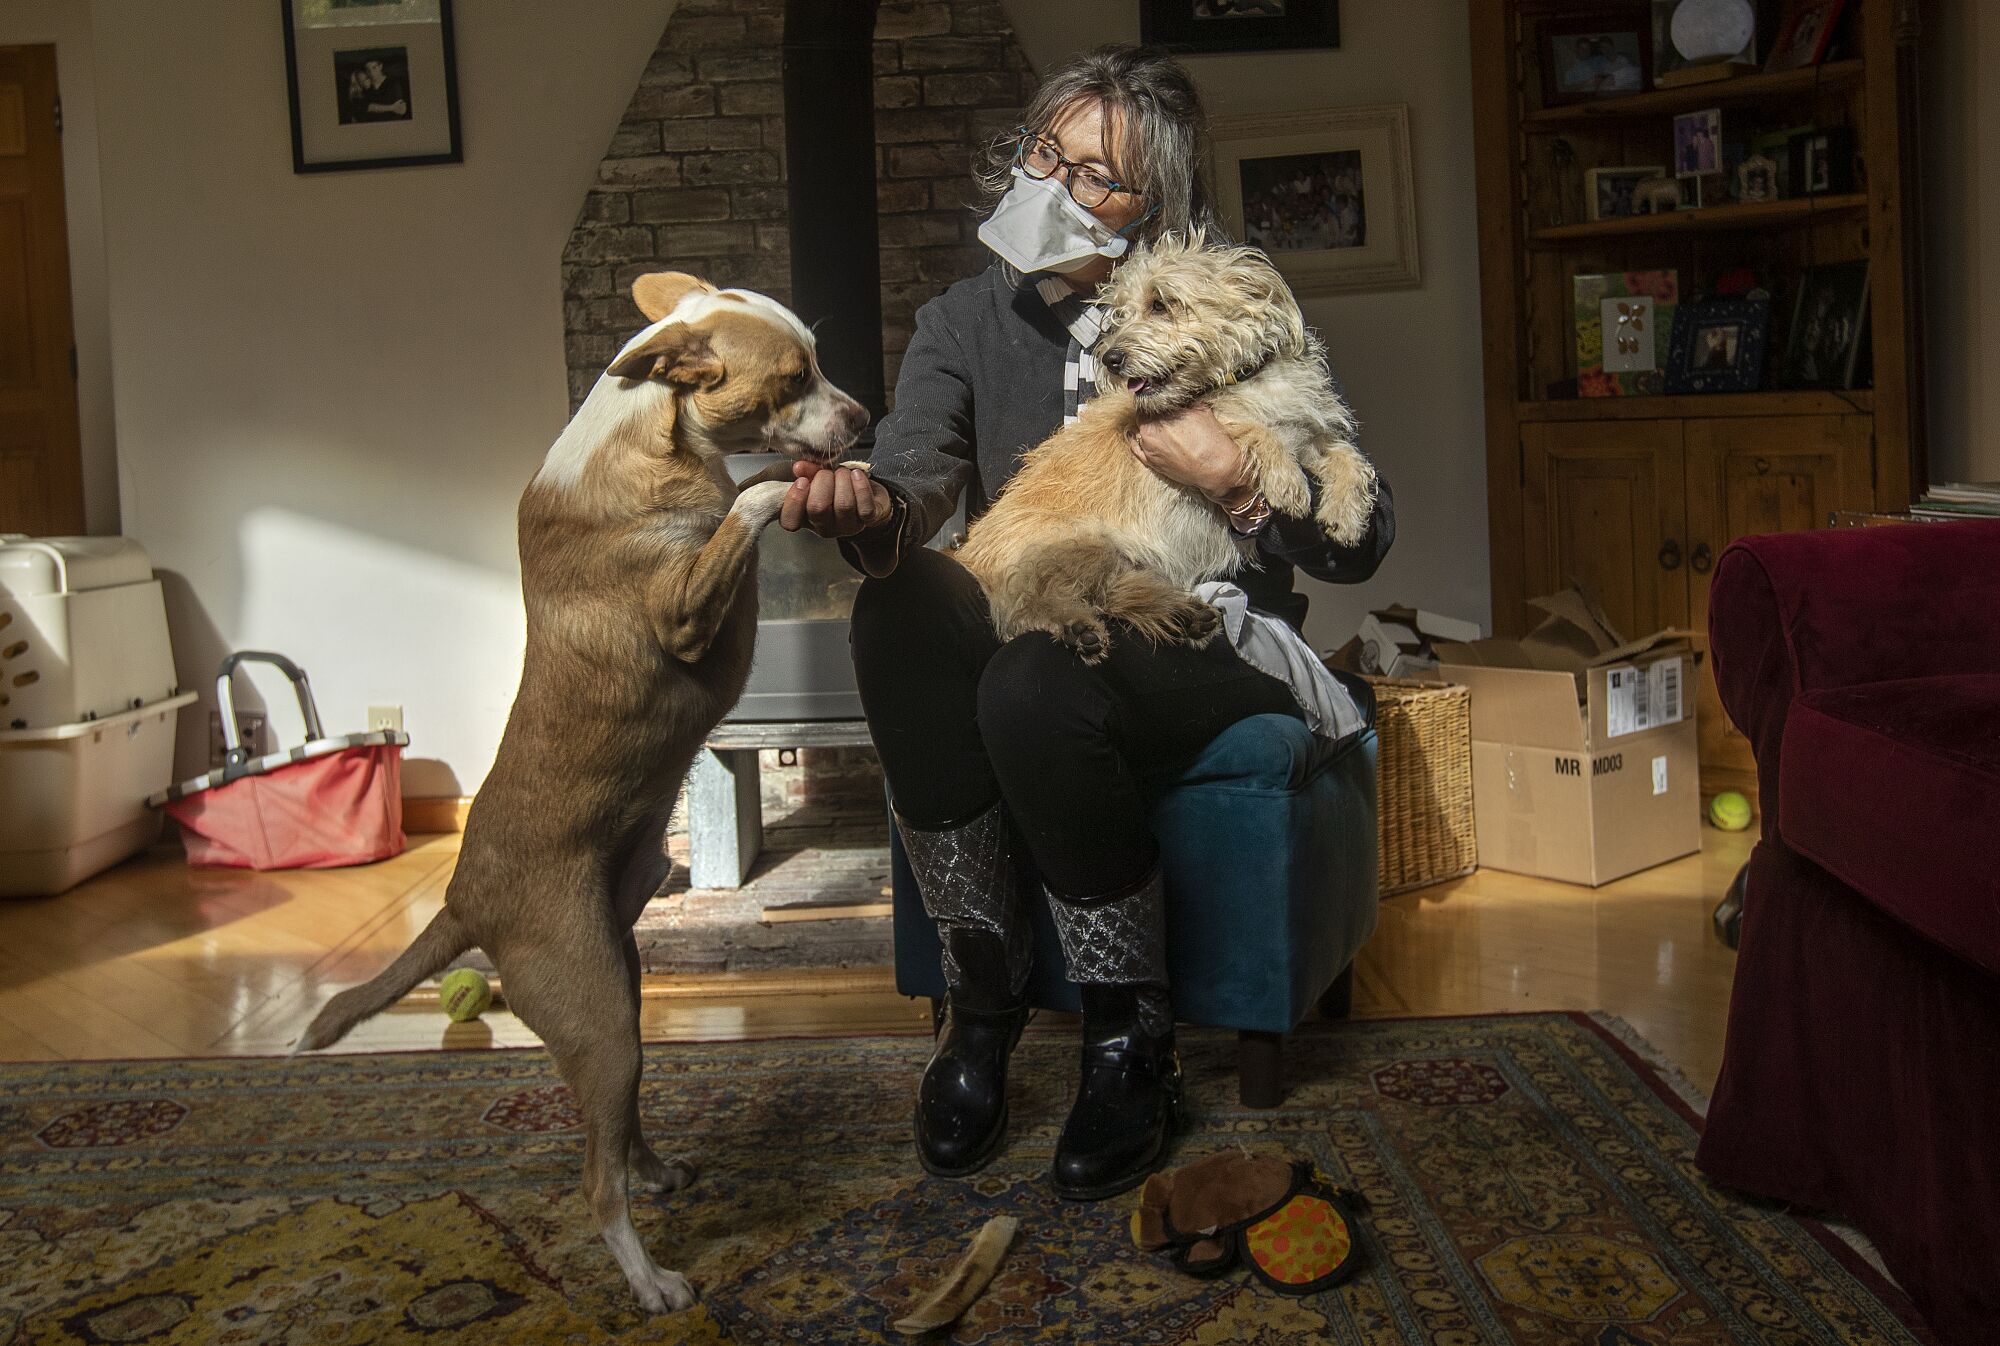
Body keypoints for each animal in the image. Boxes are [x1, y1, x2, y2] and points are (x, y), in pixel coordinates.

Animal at [292, 270, 868, 1312]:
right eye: (793, 377)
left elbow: (737, 502)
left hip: (620, 990)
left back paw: (658, 1170)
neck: (655, 439)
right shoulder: (685, 611)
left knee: (620, 1129)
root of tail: (463, 899)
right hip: (598, 1018)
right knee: (595, 1181)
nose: (864, 417)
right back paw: (651, 1281)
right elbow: (748, 509)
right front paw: (776, 486)